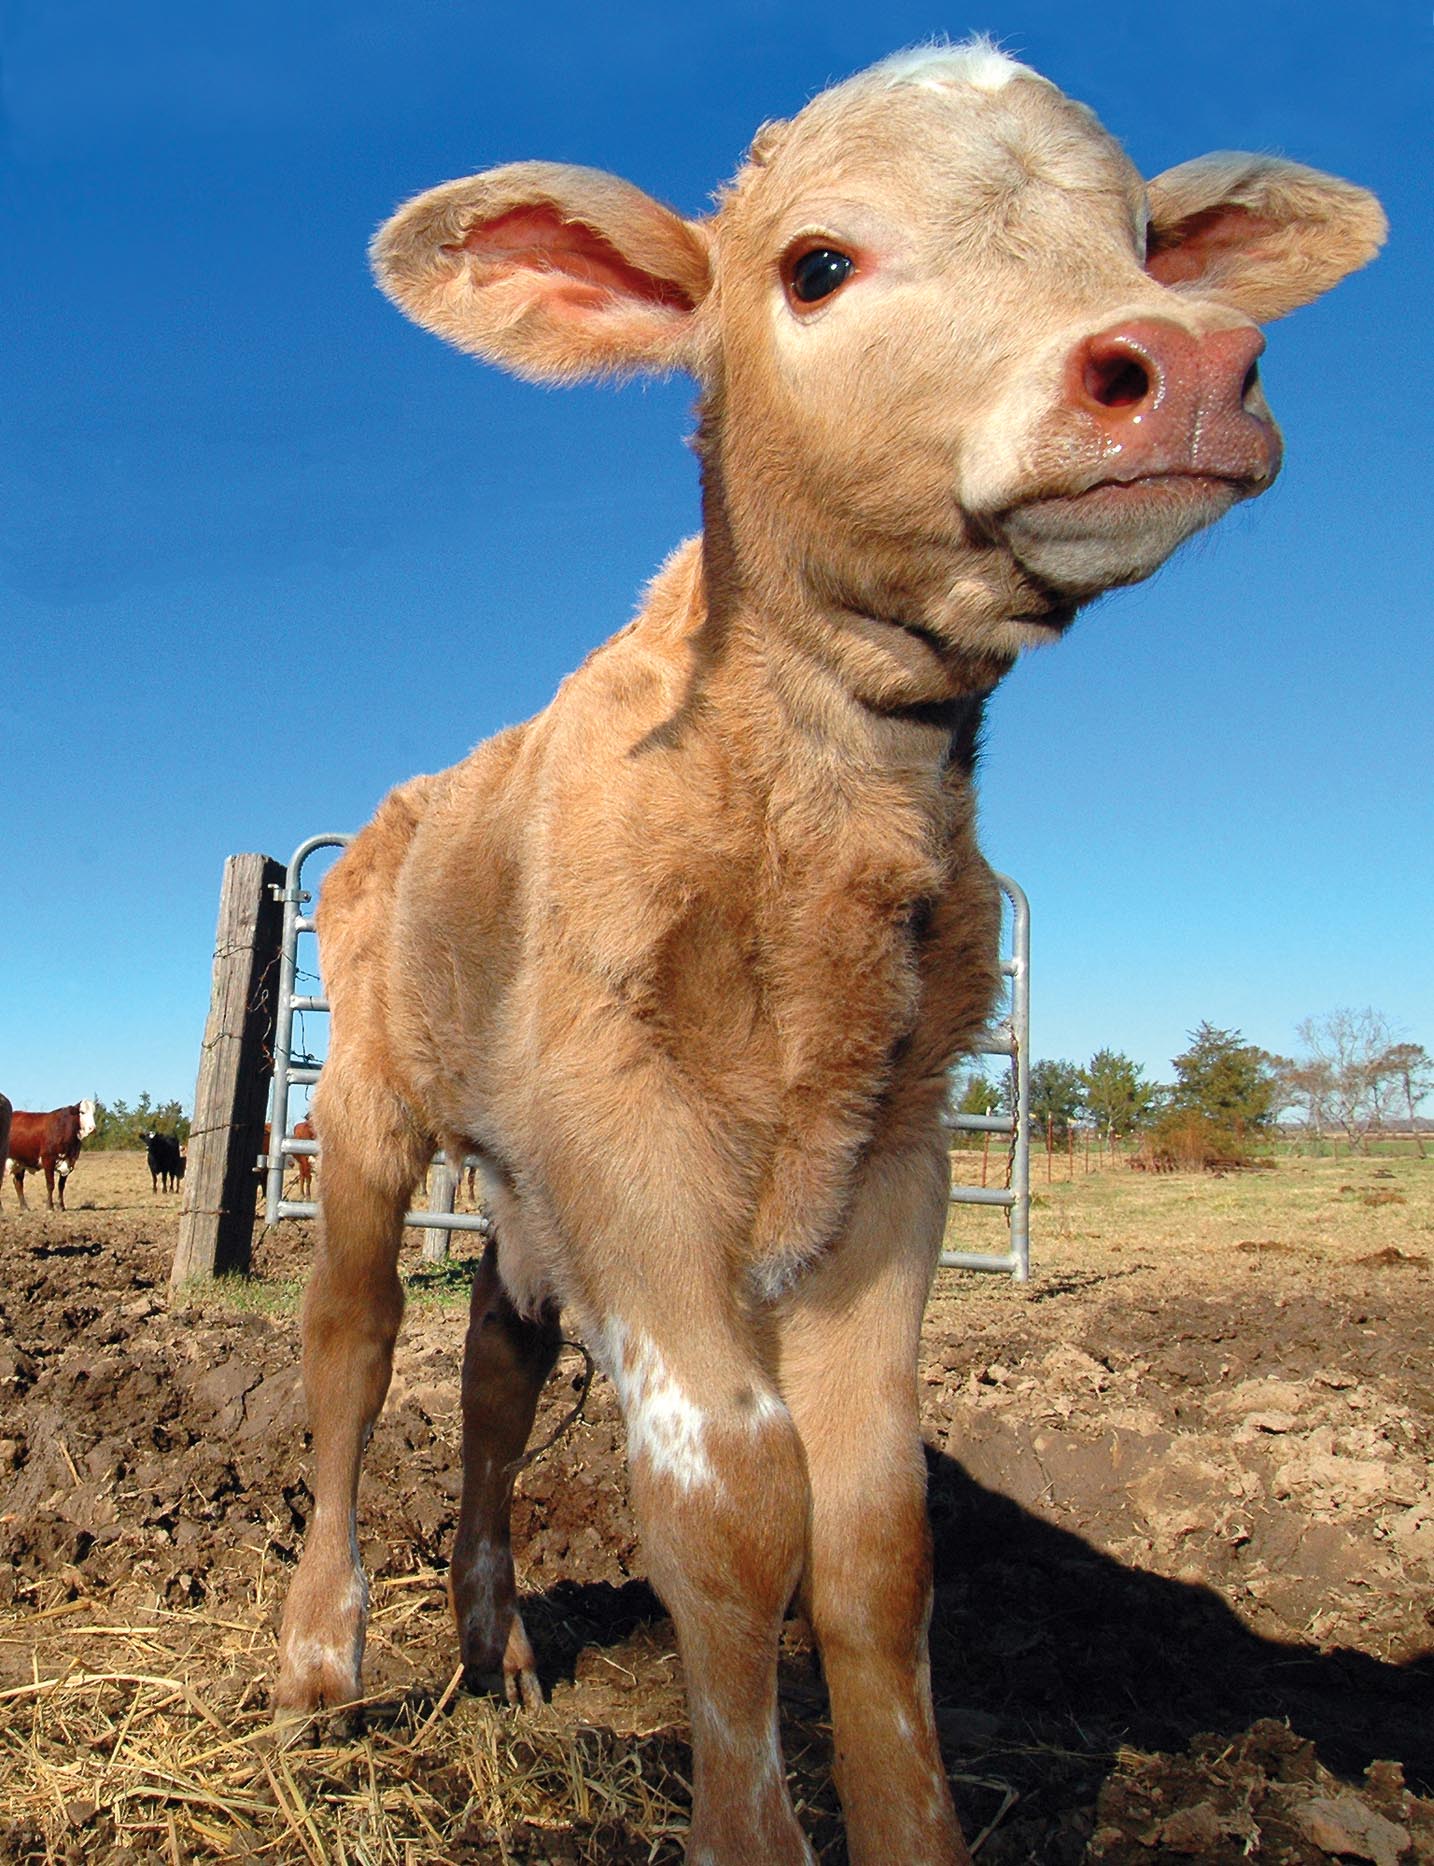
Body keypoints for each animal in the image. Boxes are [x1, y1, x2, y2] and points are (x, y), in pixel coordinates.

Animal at [271, 42, 1383, 1865]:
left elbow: (870, 1537)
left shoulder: (894, 1156)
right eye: (815, 265)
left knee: (499, 1367)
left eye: (1141, 241)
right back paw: (319, 1652)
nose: (1185, 363)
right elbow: (731, 1508)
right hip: (371, 1095)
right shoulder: (625, 1119)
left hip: (517, 1171)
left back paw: (495, 1639)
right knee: (353, 1348)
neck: (815, 818)